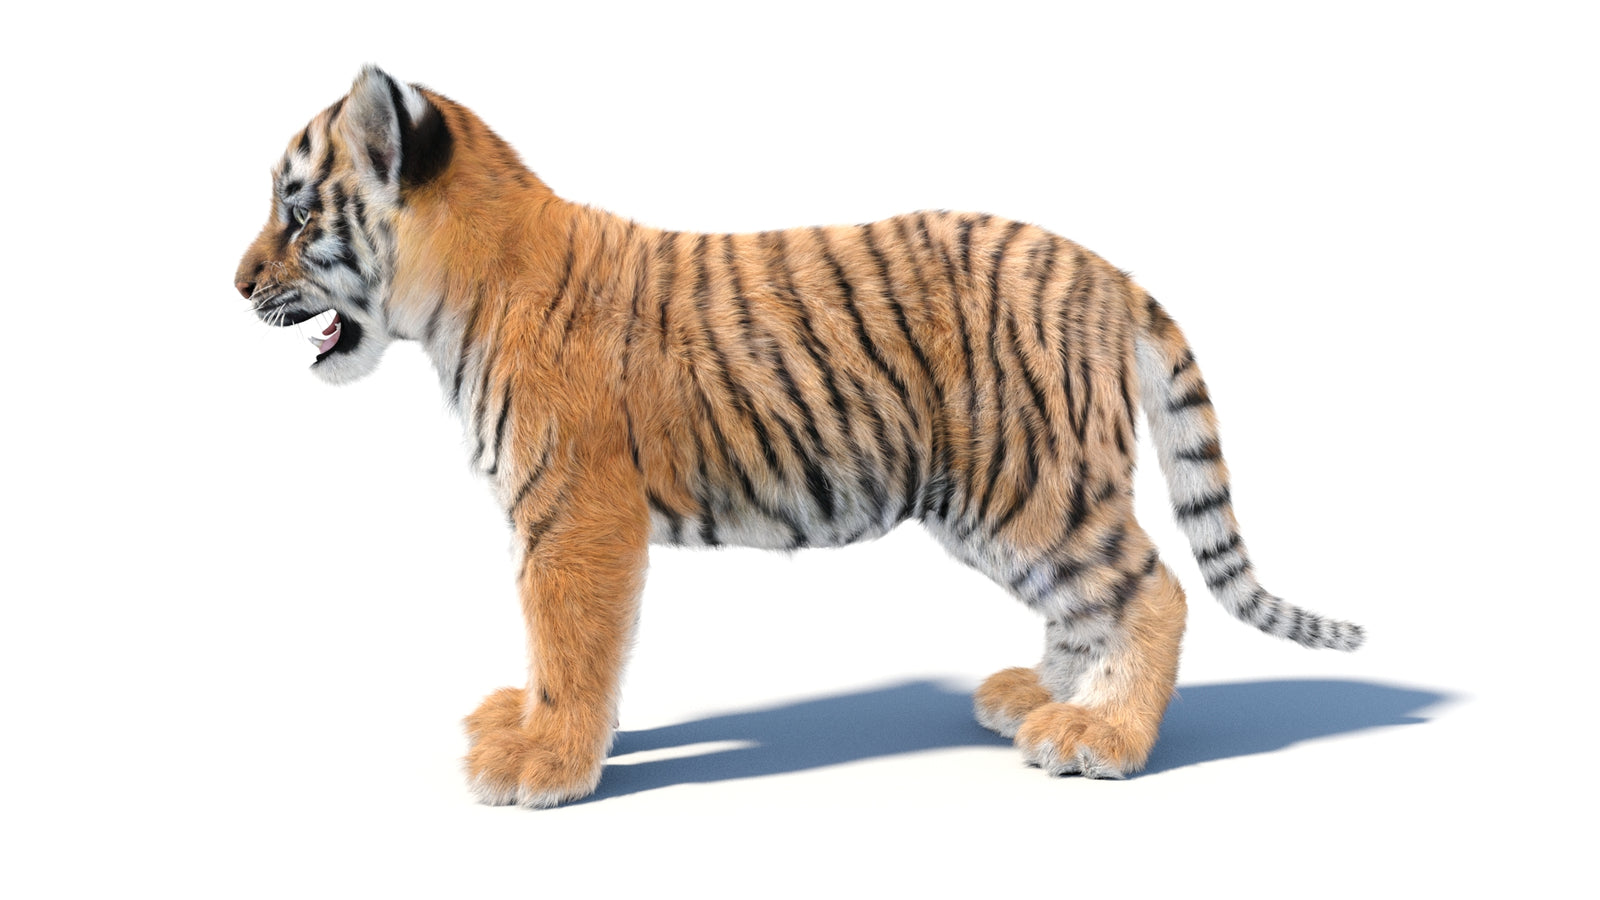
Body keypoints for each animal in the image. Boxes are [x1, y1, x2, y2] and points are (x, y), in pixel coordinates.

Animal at [235, 66, 1363, 808]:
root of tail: (1105, 272)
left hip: (1028, 481)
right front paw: (529, 727)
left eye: (297, 214)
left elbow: (568, 639)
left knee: (1151, 589)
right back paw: (1037, 699)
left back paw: (1103, 736)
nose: (237, 284)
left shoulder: (575, 512)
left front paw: (541, 760)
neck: (454, 292)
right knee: (1092, 599)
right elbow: (568, 644)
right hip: (1002, 502)